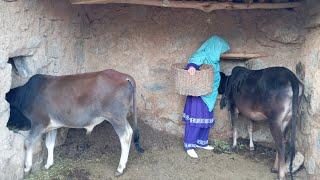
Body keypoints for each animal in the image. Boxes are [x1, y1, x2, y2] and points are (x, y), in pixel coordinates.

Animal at [5, 69, 144, 176]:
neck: (26, 95)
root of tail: (123, 76)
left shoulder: (38, 123)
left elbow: (28, 142)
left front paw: (27, 167)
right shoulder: (52, 126)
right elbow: (50, 144)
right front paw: (48, 164)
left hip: (115, 117)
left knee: (126, 135)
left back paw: (120, 168)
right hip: (120, 117)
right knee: (130, 131)